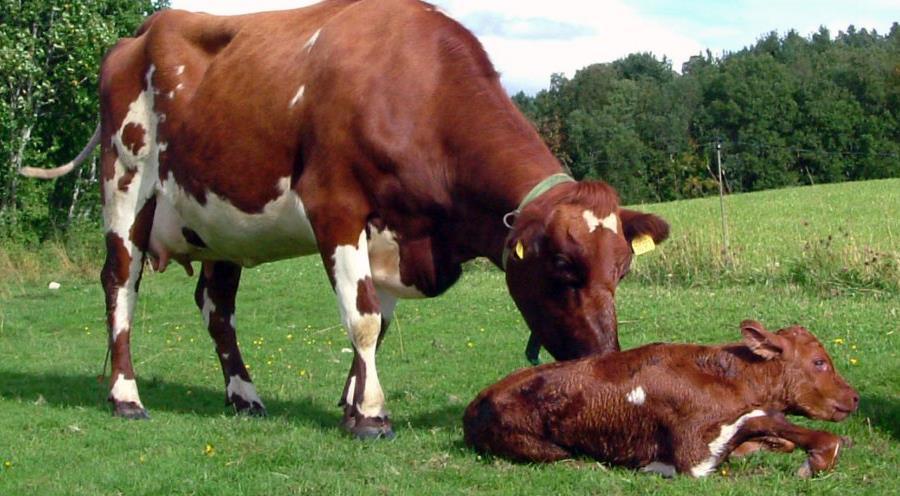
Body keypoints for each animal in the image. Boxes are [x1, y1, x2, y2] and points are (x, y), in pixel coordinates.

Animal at [21, 0, 668, 438]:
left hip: (220, 220)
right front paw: (371, 415)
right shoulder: (335, 207)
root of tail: (140, 32)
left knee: (216, 306)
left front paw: (354, 399)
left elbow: (377, 324)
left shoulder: (396, 235)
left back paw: (244, 395)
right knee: (119, 284)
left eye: (622, 271)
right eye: (560, 266)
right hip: (125, 184)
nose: (606, 359)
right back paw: (125, 396)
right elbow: (361, 318)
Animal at [464, 320, 856, 478]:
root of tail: (476, 403)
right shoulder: (693, 455)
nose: (854, 397)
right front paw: (821, 454)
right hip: (543, 449)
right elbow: (763, 417)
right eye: (819, 362)